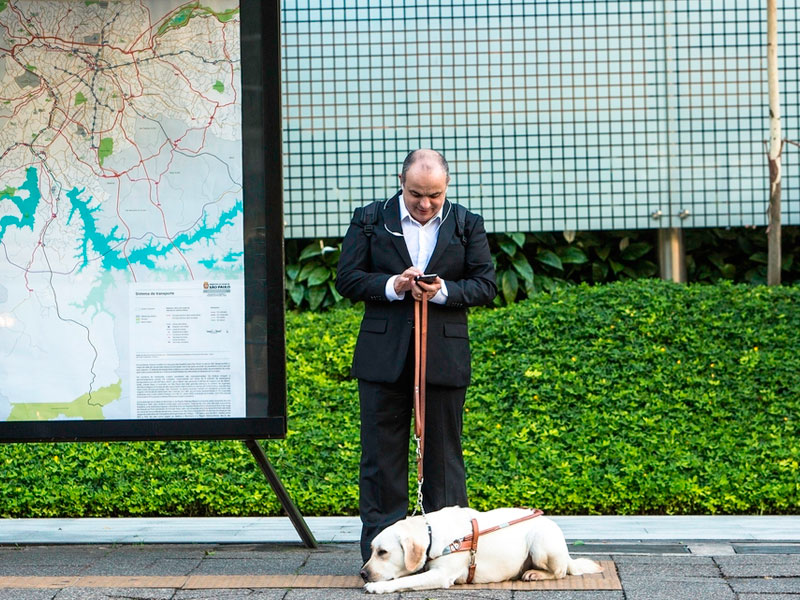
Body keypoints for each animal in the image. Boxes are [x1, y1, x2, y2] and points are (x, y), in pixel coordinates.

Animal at [360, 506, 596, 596]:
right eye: (371, 550)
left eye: (383, 552)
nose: (362, 573)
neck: (431, 532)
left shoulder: (441, 575)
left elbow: (406, 580)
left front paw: (378, 587)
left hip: (541, 543)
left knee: (560, 572)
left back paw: (535, 574)